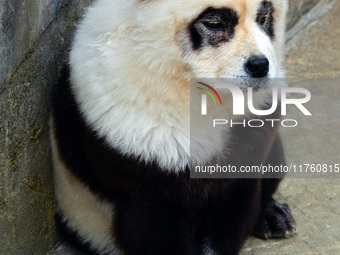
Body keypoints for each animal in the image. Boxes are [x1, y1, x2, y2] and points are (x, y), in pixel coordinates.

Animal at [49, 0, 294, 254]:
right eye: (214, 24)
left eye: (263, 18)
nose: (259, 66)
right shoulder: (130, 137)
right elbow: (154, 226)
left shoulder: (249, 125)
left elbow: (236, 202)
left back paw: (274, 217)